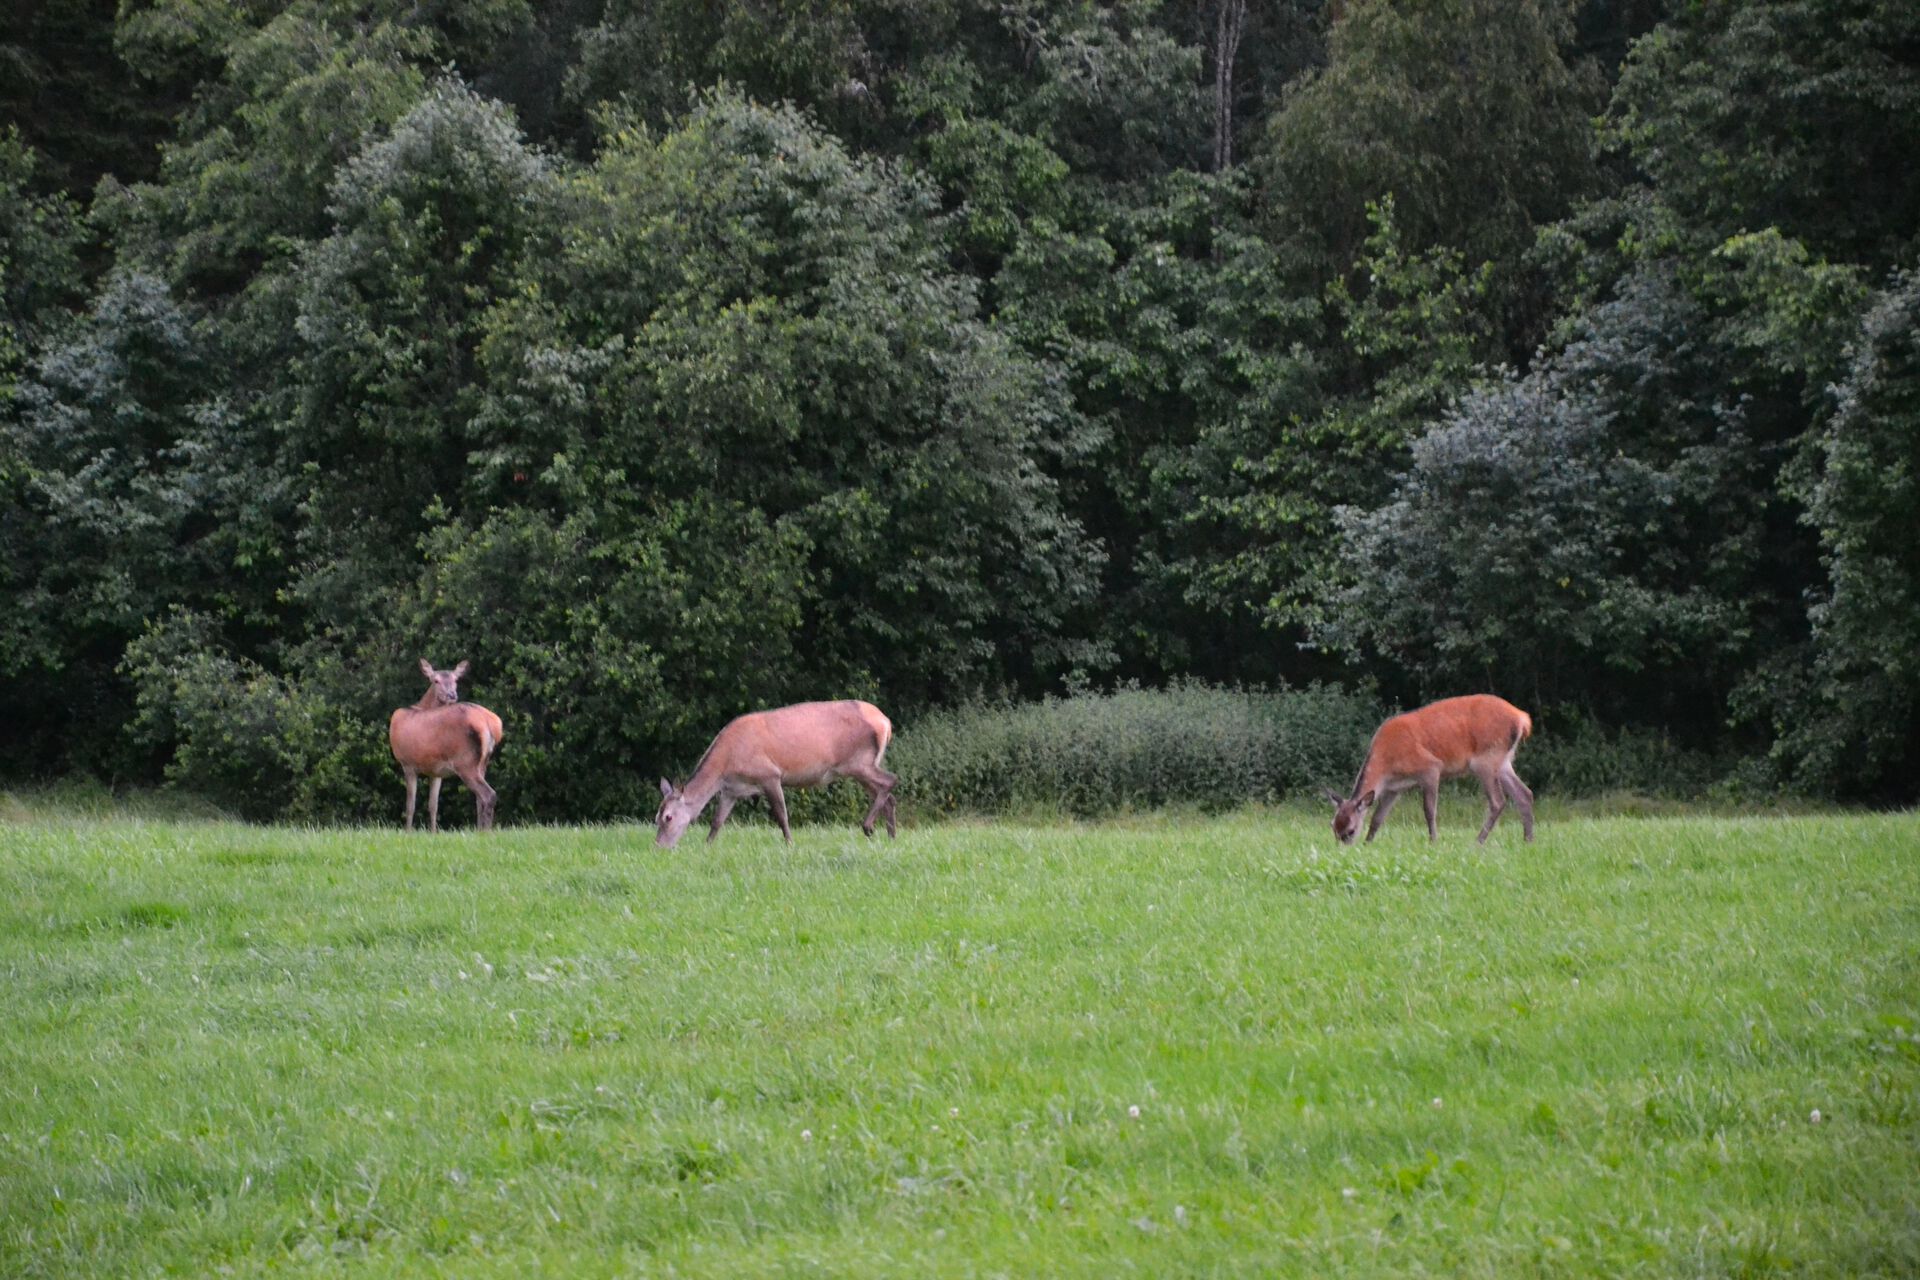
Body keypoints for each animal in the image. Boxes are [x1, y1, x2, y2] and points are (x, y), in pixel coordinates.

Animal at [388, 659, 505, 833]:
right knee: (479, 799)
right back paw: (480, 830)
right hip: (482, 763)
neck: (420, 706)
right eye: (436, 680)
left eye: (456, 680)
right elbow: (433, 805)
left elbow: (410, 805)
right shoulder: (436, 771)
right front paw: (433, 832)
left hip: (465, 761)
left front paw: (407, 832)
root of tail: (490, 724)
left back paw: (485, 831)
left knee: (488, 794)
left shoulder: (407, 762)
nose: (452, 694)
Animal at [655, 700, 898, 848]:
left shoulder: (770, 775)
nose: (658, 847)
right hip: (861, 767)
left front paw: (790, 844)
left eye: (668, 817)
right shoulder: (731, 790)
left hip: (858, 762)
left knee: (890, 781)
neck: (726, 765)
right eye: (656, 817)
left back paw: (868, 827)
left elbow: (782, 816)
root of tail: (886, 722)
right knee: (888, 796)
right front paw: (707, 846)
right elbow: (717, 821)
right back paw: (891, 836)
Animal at [1326, 694, 1534, 845]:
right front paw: (1368, 843)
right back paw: (1528, 840)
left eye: (1351, 830)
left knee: (1498, 801)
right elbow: (1378, 818)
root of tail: (1522, 718)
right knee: (1525, 793)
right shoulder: (1394, 788)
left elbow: (1429, 810)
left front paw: (1433, 841)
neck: (1386, 762)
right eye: (1333, 826)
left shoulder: (1430, 768)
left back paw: (1478, 841)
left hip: (1486, 759)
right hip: (1503, 761)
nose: (1343, 849)